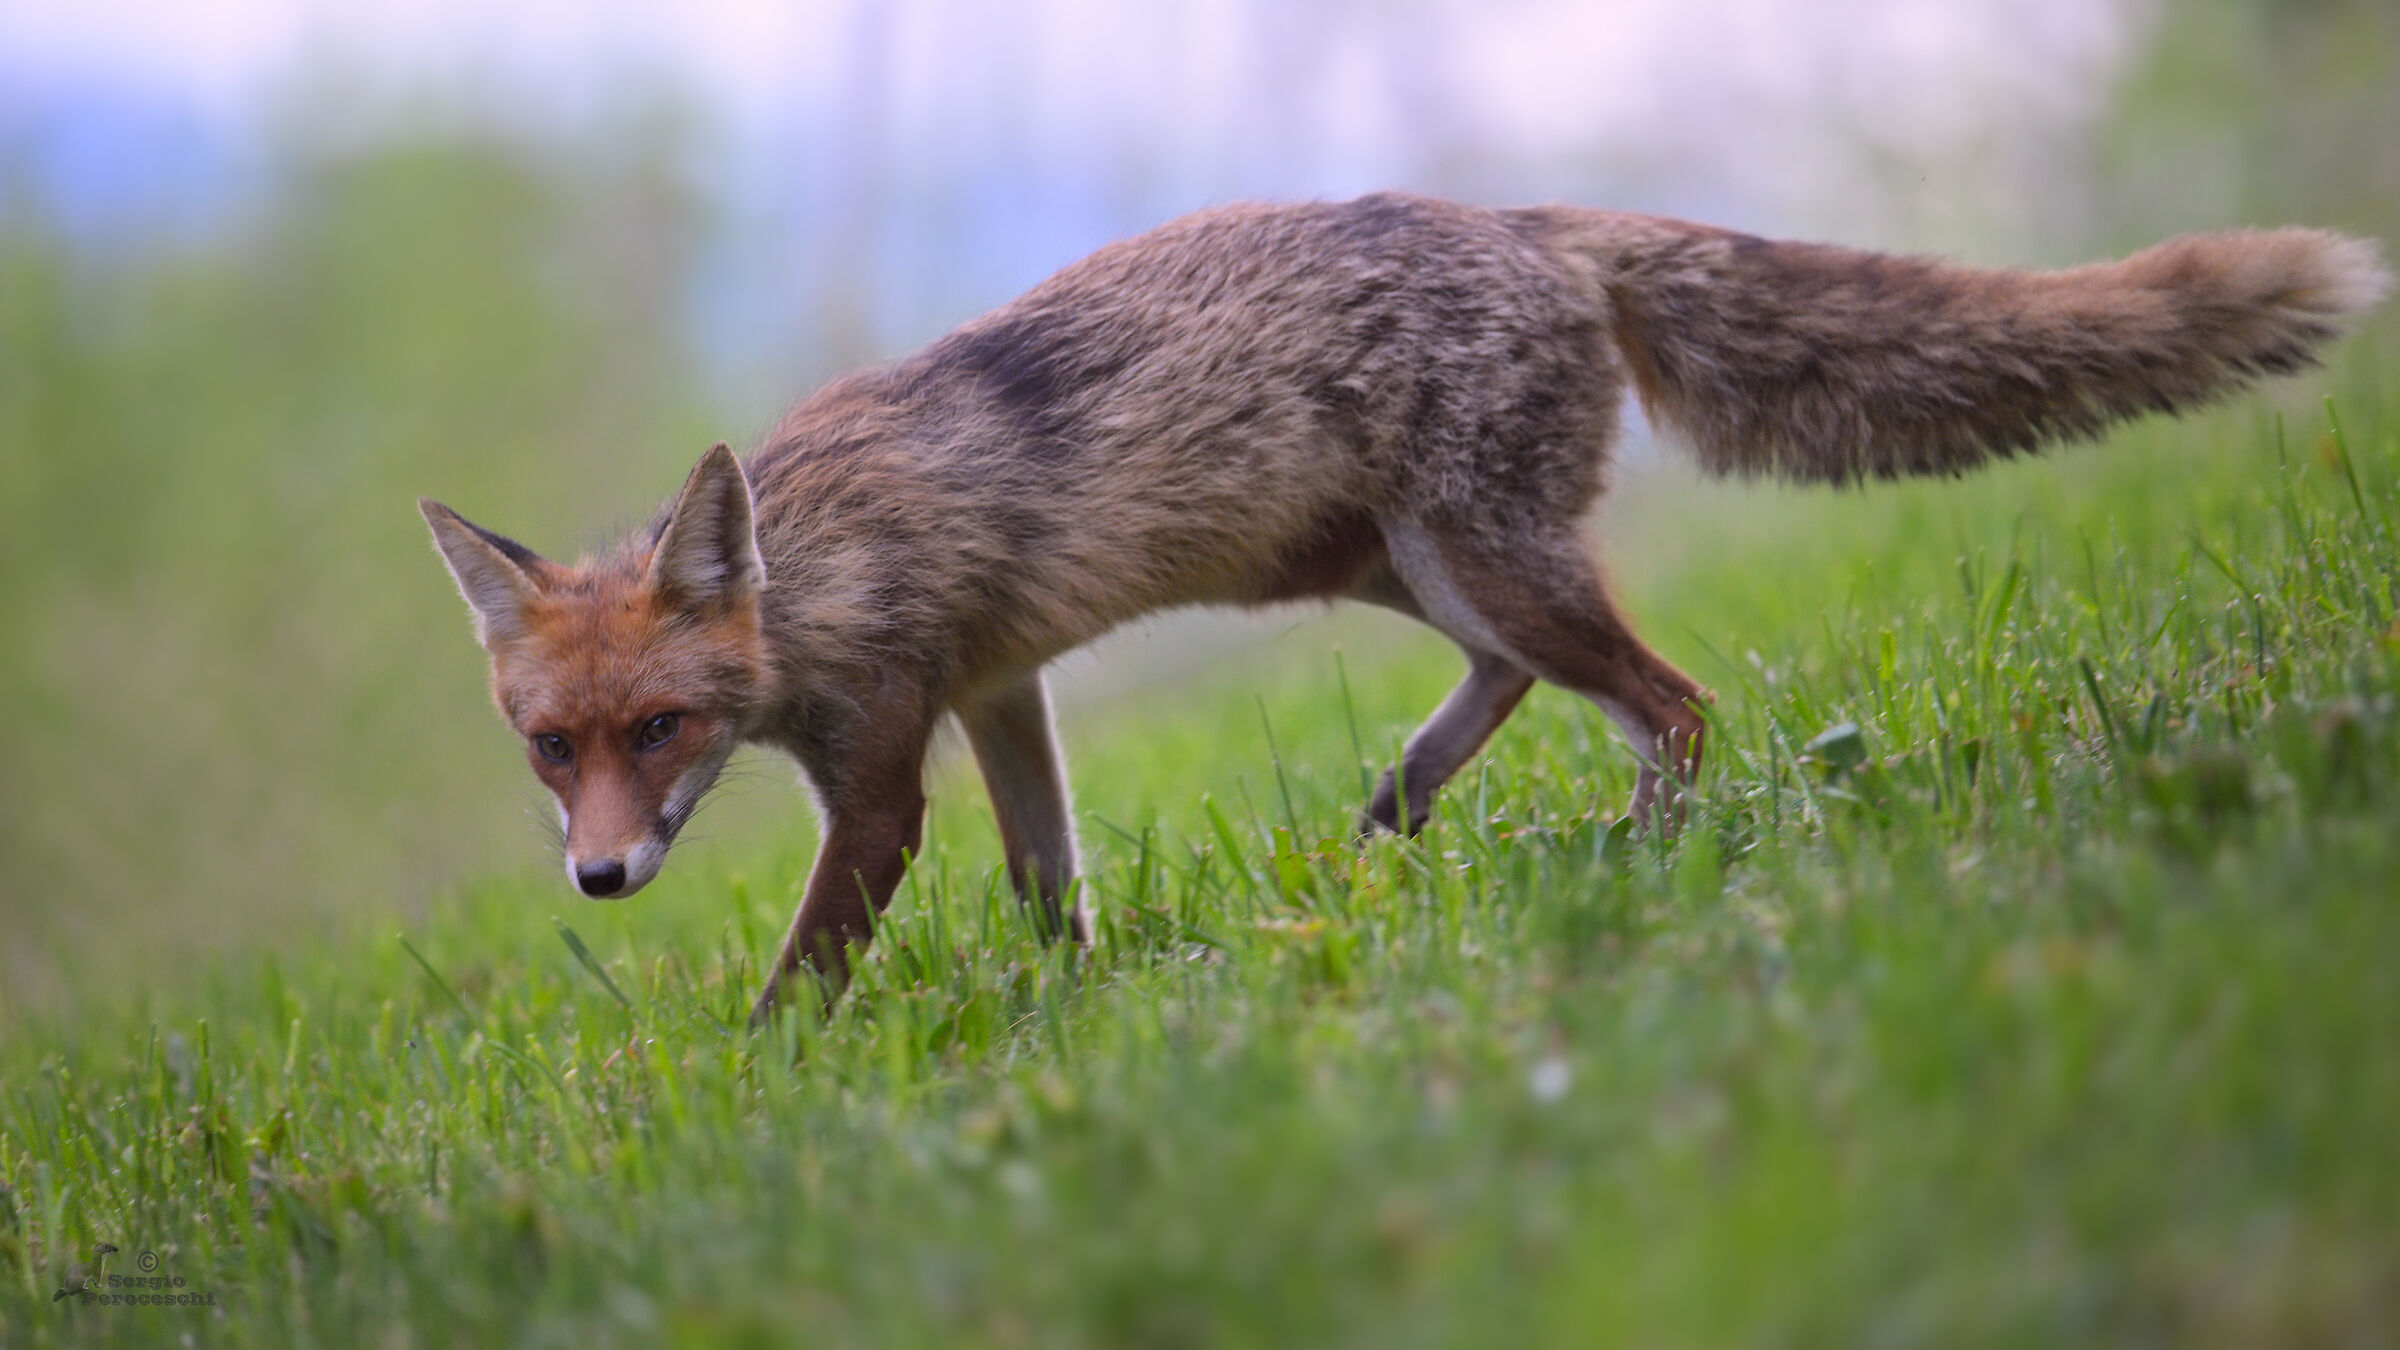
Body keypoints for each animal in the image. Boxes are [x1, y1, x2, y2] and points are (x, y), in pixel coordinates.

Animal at [422, 193, 2389, 1024]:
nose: (600, 879)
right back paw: (1403, 808)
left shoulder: (888, 762)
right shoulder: (1000, 693)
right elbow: (1053, 885)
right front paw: (1076, 1008)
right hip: (1392, 559)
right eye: (548, 750)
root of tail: (1536, 216)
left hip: (1466, 551)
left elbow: (810, 963)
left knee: (1670, 703)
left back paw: (1639, 860)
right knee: (1515, 676)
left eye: (662, 729)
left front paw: (766, 1077)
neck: (817, 571)